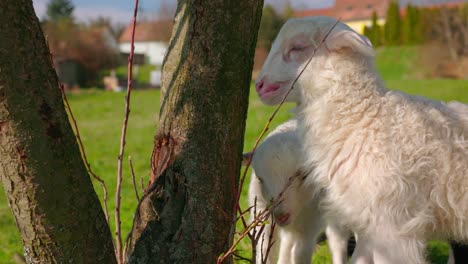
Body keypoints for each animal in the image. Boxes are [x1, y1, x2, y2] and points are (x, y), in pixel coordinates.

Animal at [247, 119, 350, 264]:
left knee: (338, 240)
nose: (281, 216)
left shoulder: (311, 222)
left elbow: (301, 253)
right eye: (260, 179)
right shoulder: (262, 211)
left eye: (304, 176)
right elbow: (264, 247)